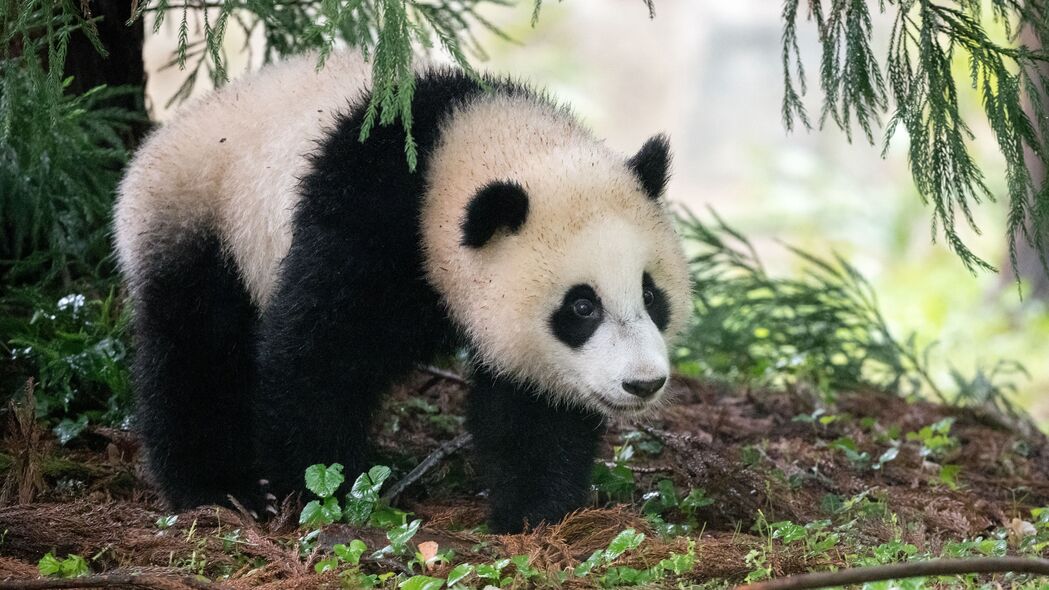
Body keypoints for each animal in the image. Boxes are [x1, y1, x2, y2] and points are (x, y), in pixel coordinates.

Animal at [114, 51, 692, 533]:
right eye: (582, 306)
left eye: (651, 295)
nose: (643, 383)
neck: (456, 142)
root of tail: (153, 148)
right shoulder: (363, 217)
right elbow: (317, 357)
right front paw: (323, 489)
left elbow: (532, 407)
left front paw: (534, 511)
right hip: (204, 219)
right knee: (196, 351)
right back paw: (219, 491)